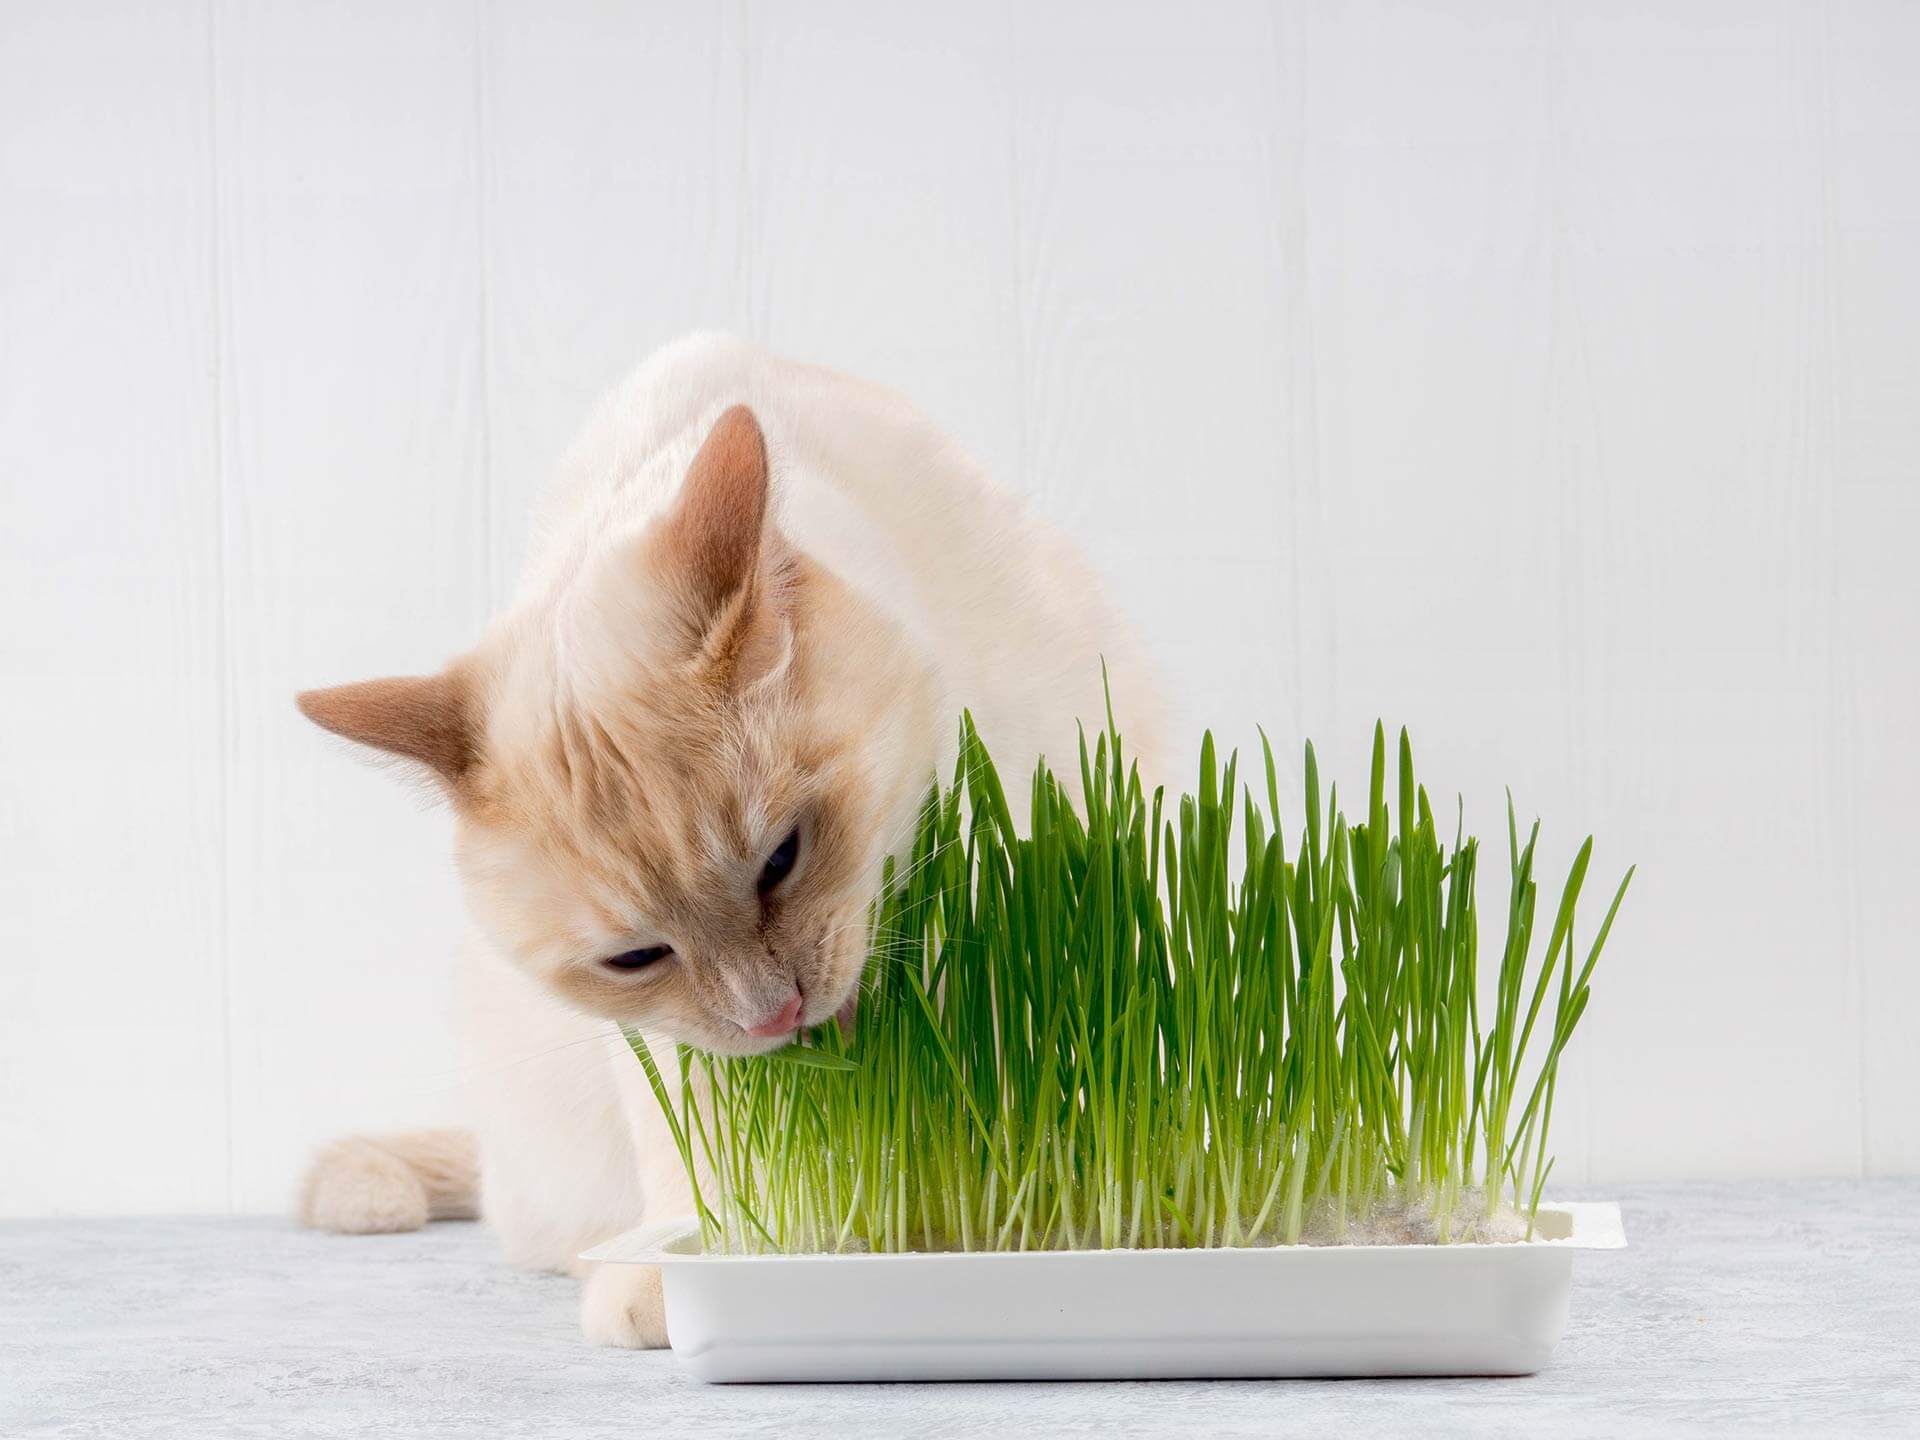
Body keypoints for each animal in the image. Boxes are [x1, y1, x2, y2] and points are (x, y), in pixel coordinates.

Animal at [295, 332, 1167, 1351]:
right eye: (636, 958)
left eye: (781, 858)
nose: (774, 1015)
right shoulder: (668, 1040)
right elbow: (711, 1160)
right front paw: (705, 1271)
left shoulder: (1034, 859)